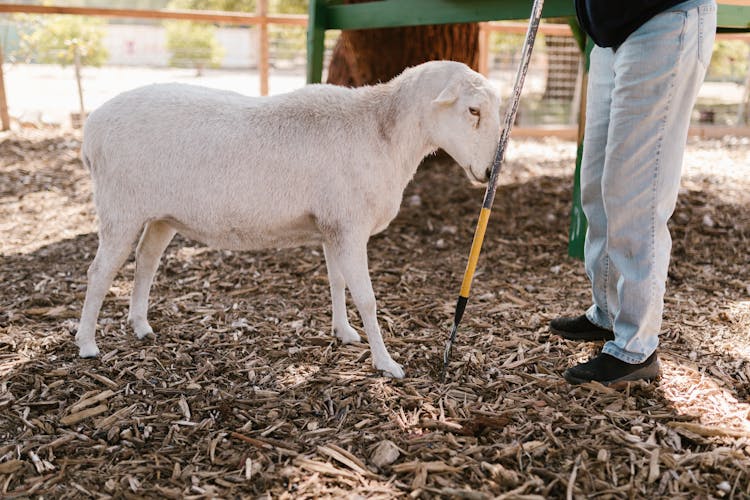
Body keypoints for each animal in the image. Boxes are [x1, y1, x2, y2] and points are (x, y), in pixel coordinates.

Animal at [76, 59, 502, 378]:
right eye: (473, 110)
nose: (489, 172)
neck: (384, 135)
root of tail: (91, 128)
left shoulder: (332, 227)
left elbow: (336, 282)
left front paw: (343, 332)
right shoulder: (349, 226)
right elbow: (366, 298)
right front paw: (386, 364)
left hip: (161, 214)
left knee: (145, 261)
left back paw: (140, 325)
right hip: (120, 208)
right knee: (99, 273)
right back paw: (86, 344)